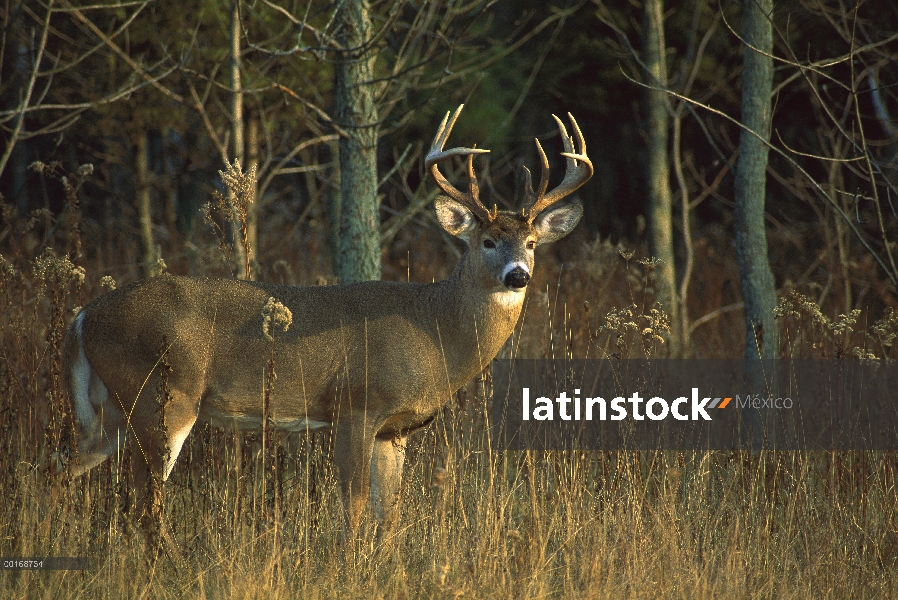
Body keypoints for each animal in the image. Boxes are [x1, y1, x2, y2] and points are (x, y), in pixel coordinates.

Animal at [65, 103, 596, 536]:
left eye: (531, 243)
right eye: (487, 241)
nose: (518, 275)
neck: (436, 333)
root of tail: (84, 316)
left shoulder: (394, 429)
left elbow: (389, 512)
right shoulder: (356, 404)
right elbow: (354, 504)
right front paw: (351, 564)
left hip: (115, 406)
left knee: (65, 464)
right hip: (163, 394)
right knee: (145, 505)